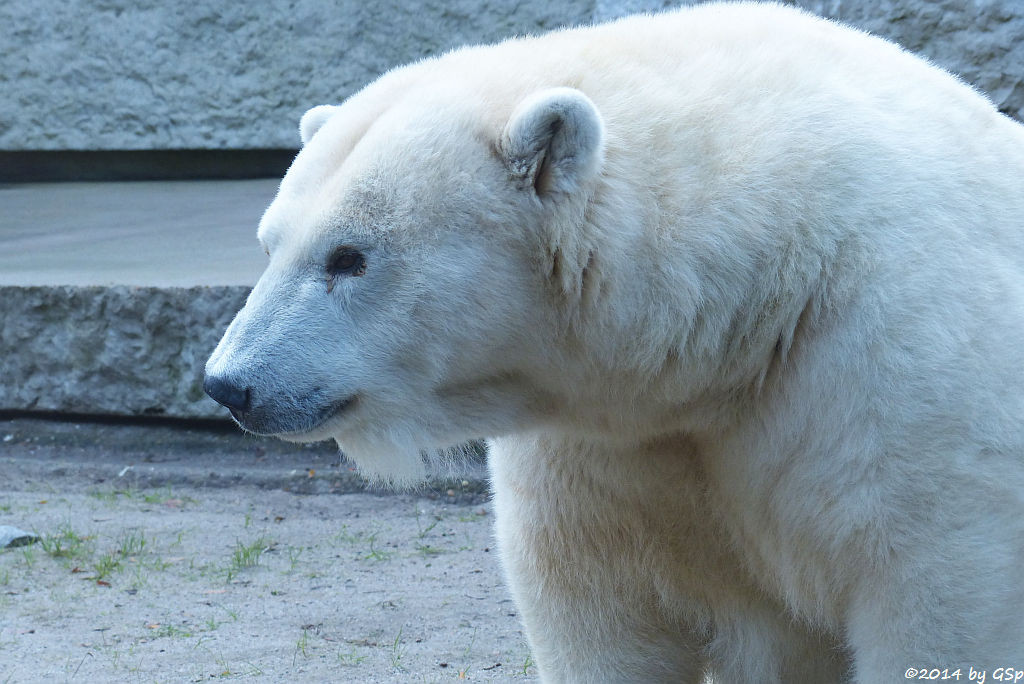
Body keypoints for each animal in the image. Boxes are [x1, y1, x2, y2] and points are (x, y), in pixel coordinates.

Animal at [203, 2, 1024, 679]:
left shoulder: (889, 363)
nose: (229, 383)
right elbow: (599, 615)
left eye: (349, 256)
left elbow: (931, 597)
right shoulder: (605, 446)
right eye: (270, 243)